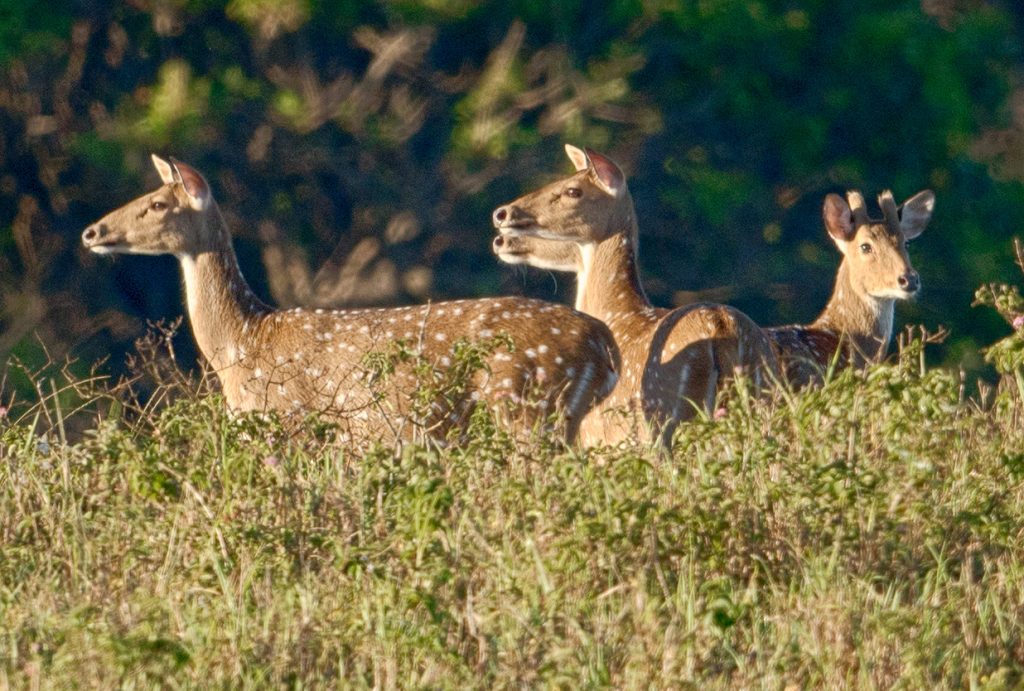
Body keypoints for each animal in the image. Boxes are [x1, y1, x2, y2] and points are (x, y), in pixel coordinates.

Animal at [79, 155, 618, 446]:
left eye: (156, 204)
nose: (91, 231)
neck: (241, 345)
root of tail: (603, 347)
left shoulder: (289, 422)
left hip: (525, 410)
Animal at [491, 146, 778, 448]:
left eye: (572, 190)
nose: (501, 216)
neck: (618, 313)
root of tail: (721, 325)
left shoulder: (599, 439)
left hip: (664, 419)